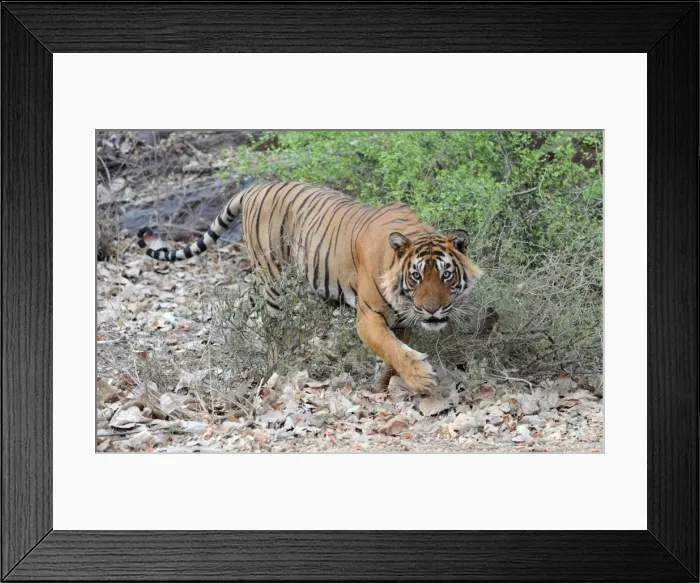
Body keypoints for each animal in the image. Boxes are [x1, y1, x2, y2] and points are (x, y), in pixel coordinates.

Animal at [138, 180, 483, 394]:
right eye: (416, 276)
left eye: (446, 275)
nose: (432, 310)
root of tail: (254, 186)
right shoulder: (369, 316)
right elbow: (391, 349)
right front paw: (422, 379)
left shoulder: (403, 320)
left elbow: (390, 355)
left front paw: (382, 386)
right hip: (274, 279)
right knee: (273, 328)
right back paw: (280, 367)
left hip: (263, 282)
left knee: (240, 307)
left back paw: (228, 341)